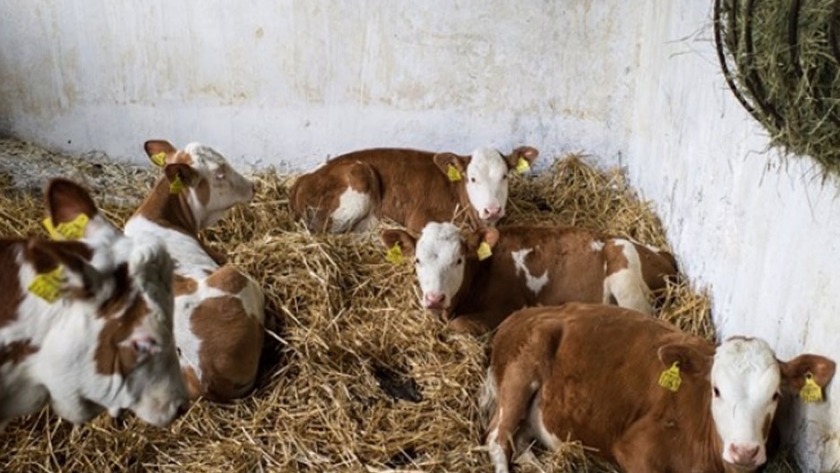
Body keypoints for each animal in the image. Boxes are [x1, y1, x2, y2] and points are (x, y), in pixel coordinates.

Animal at [289, 146, 540, 233]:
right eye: (473, 178)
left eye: (505, 176)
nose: (492, 210)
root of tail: (301, 179)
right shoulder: (421, 219)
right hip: (357, 180)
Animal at [380, 222, 678, 335]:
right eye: (418, 261)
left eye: (458, 260)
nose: (434, 298)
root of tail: (663, 255)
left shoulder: (505, 307)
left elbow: (459, 325)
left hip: (624, 270)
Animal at [481, 303, 836, 473]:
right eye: (716, 390)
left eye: (775, 395)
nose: (744, 451)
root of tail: (529, 311)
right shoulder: (634, 449)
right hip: (522, 368)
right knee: (497, 438)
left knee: (519, 442)